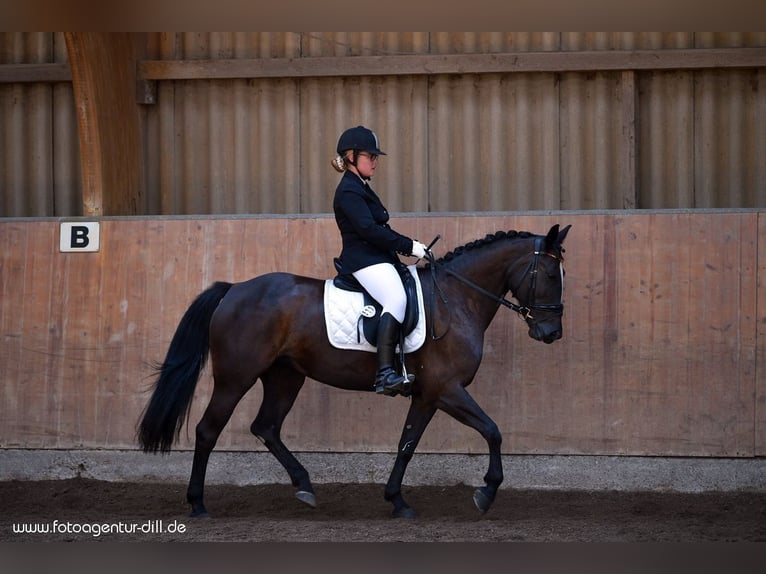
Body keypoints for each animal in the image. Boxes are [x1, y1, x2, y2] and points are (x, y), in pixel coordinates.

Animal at [138, 225, 568, 520]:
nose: (551, 333)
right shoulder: (448, 389)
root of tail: (234, 288)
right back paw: (198, 504)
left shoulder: (428, 394)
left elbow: (407, 444)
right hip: (235, 378)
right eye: (550, 275)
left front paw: (397, 500)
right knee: (208, 430)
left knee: (266, 427)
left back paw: (305, 486)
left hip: (285, 377)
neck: (456, 299)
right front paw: (486, 492)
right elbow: (492, 431)